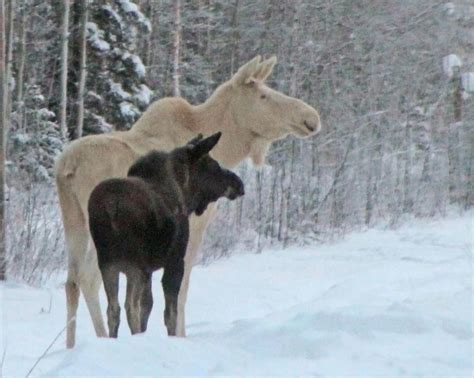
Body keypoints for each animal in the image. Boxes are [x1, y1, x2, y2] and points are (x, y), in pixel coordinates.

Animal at [88, 132, 244, 336]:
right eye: (213, 164)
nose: (239, 183)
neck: (186, 196)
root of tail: (111, 207)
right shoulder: (175, 261)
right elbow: (170, 313)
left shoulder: (148, 270)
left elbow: (148, 306)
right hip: (133, 264)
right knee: (130, 307)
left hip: (108, 263)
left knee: (114, 309)